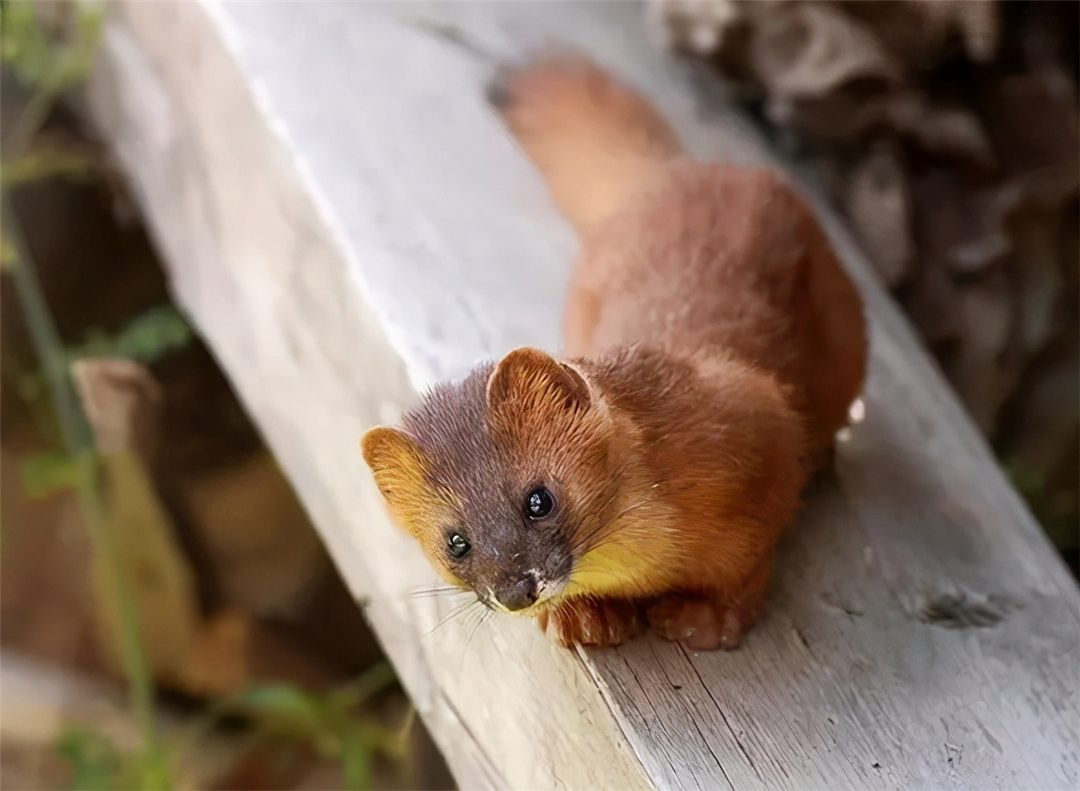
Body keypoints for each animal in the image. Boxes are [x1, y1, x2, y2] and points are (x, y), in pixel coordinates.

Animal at [362, 54, 868, 648]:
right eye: (455, 541)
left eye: (539, 498)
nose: (516, 591)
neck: (645, 562)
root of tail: (672, 173)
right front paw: (587, 616)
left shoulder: (762, 424)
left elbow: (747, 563)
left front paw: (703, 618)